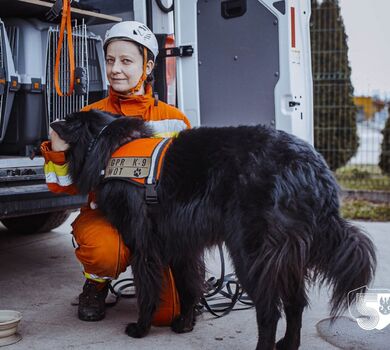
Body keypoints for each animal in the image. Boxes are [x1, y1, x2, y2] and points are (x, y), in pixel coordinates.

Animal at [50, 110, 376, 350]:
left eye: (67, 119)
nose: (51, 123)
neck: (110, 146)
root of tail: (312, 168)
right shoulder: (181, 248)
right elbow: (189, 286)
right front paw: (184, 324)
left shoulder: (144, 246)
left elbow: (148, 290)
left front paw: (141, 328)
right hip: (286, 258)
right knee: (295, 302)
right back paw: (287, 344)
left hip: (251, 255)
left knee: (269, 310)